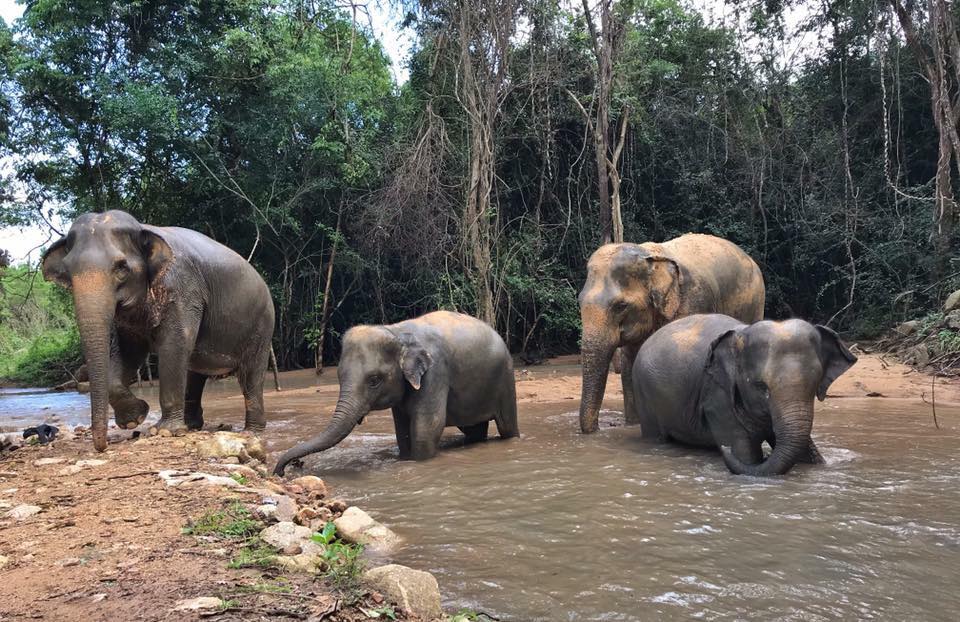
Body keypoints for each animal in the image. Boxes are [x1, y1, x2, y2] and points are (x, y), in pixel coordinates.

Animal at [42, 210, 276, 451]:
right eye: (68, 272)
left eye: (121, 268)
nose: (102, 447)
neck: (143, 227)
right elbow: (127, 352)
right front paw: (134, 419)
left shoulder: (183, 290)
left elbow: (174, 345)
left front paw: (164, 431)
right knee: (195, 371)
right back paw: (192, 426)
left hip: (262, 324)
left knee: (250, 376)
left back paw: (251, 431)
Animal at [274, 311, 518, 476]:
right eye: (339, 376)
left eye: (374, 380)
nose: (284, 470)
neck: (396, 331)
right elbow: (402, 430)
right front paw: (404, 458)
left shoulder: (436, 372)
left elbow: (427, 426)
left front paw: (419, 462)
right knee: (473, 430)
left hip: (505, 378)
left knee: (507, 426)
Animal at [578, 234, 765, 434]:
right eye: (579, 301)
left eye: (621, 306)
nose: (597, 430)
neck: (650, 257)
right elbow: (630, 364)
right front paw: (634, 424)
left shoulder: (693, 300)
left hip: (755, 302)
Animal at [632, 314, 857, 476]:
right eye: (761, 386)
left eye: (815, 384)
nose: (724, 448)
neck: (742, 334)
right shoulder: (716, 395)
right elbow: (747, 457)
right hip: (644, 395)